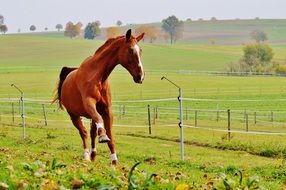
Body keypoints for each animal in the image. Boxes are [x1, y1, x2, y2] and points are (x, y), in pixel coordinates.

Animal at [53, 29, 144, 165]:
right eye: (130, 50)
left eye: (140, 51)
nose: (140, 77)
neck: (97, 76)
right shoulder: (89, 103)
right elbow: (99, 123)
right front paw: (103, 136)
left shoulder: (107, 110)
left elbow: (110, 136)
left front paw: (114, 161)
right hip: (73, 115)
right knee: (83, 132)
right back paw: (86, 156)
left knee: (91, 133)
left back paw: (93, 155)